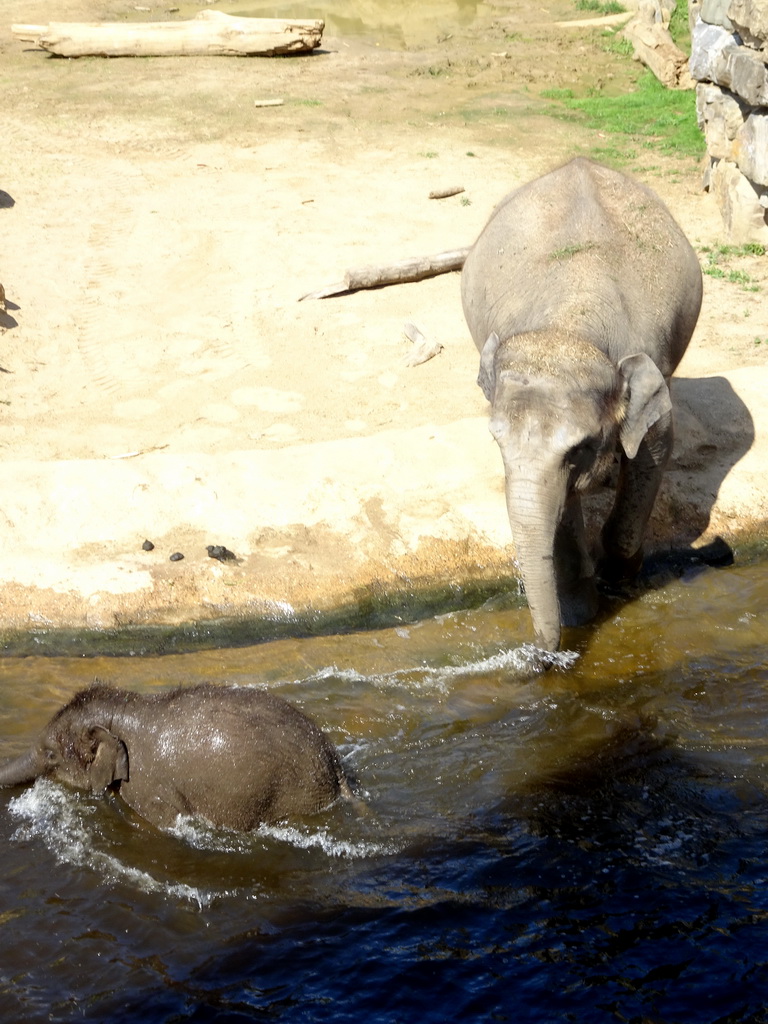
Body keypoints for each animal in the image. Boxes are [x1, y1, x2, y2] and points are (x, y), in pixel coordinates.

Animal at [462, 157, 704, 655]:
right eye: (496, 443)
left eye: (580, 448)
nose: (541, 654)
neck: (569, 325)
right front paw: (580, 613)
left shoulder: (649, 373)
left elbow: (654, 451)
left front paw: (622, 581)